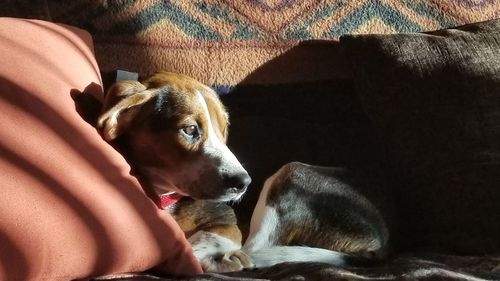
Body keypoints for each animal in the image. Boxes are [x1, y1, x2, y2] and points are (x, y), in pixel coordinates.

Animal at [95, 71, 254, 272]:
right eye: (190, 129)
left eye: (224, 127)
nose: (244, 182)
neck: (166, 198)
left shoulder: (228, 223)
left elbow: (199, 242)